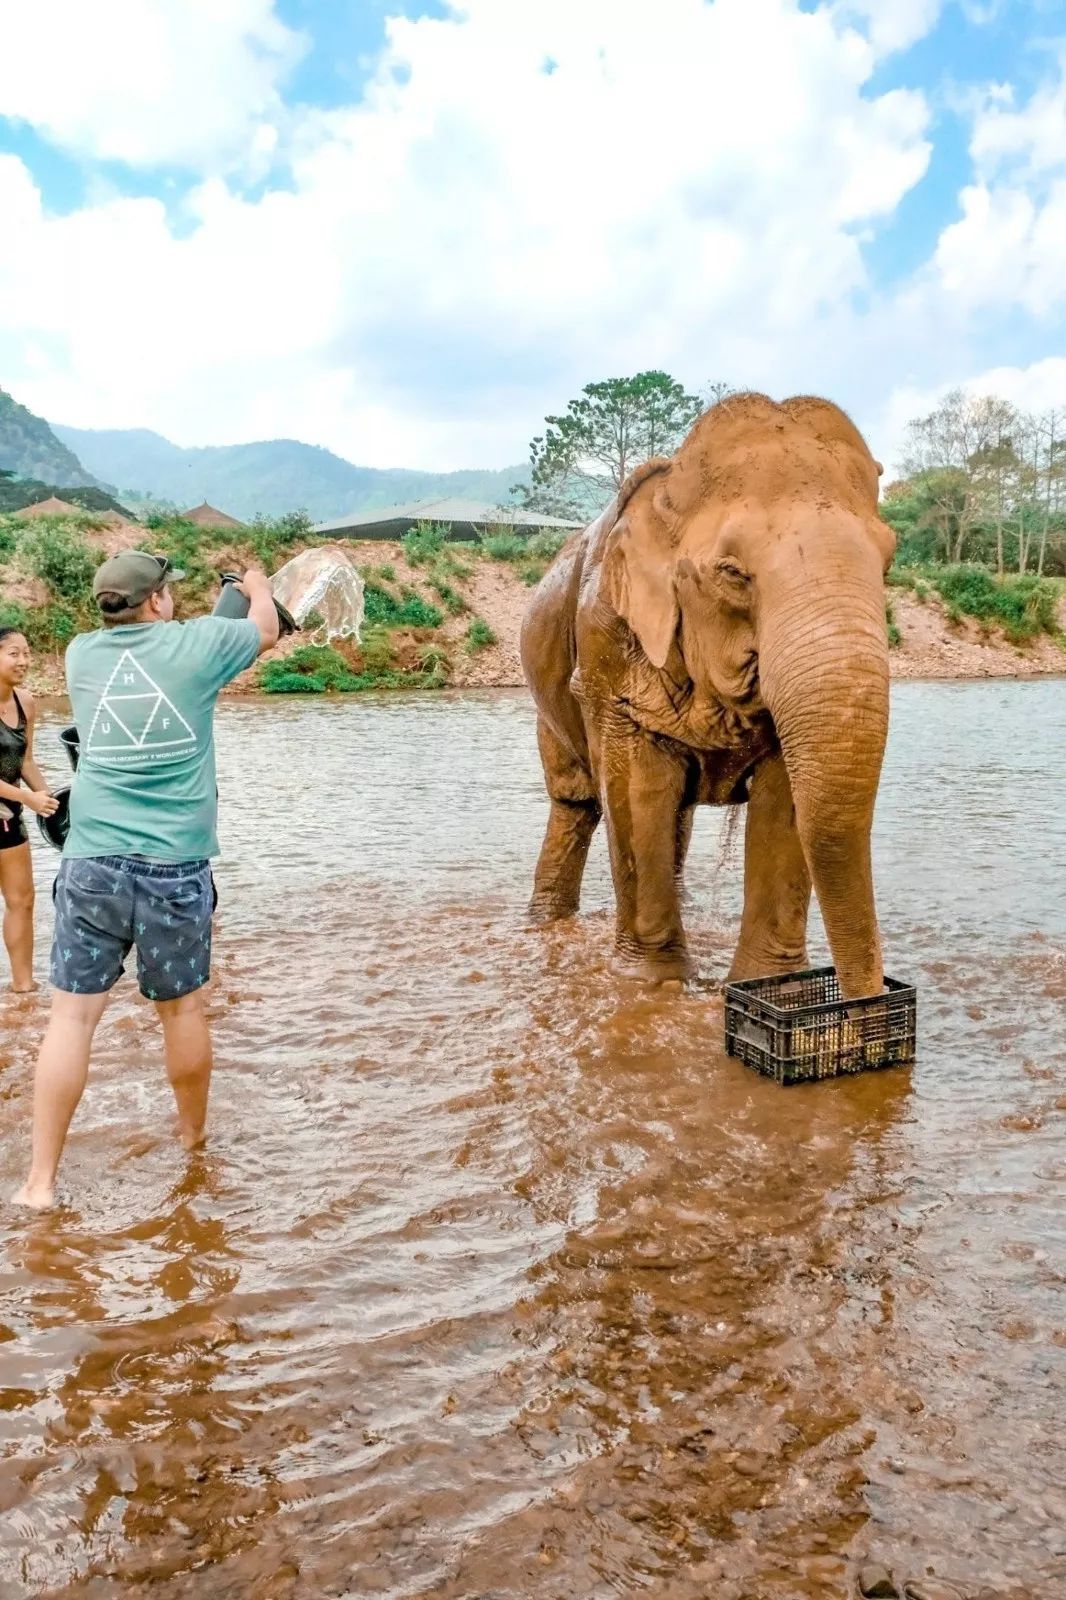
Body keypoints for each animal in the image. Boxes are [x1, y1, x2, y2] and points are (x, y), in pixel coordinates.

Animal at [518, 390, 889, 998]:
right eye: (733, 572)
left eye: (889, 561)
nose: (868, 1006)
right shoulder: (606, 643)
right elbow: (635, 789)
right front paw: (655, 985)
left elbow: (785, 802)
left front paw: (770, 987)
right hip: (548, 706)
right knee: (576, 804)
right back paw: (545, 924)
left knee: (677, 817)